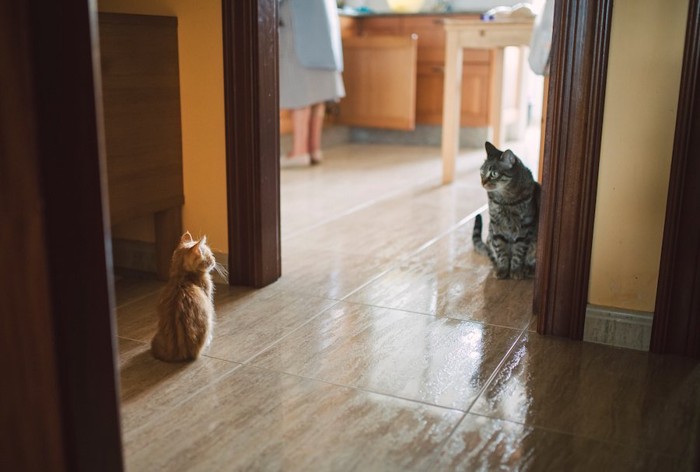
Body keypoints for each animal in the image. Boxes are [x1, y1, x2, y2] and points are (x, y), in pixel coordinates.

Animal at [474, 142, 540, 278]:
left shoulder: (525, 227)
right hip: (489, 236)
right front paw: (503, 270)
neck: (506, 200)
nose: (483, 182)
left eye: (493, 174)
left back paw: (528, 269)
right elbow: (501, 250)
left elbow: (518, 252)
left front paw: (515, 271)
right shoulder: (496, 225)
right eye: (481, 172)